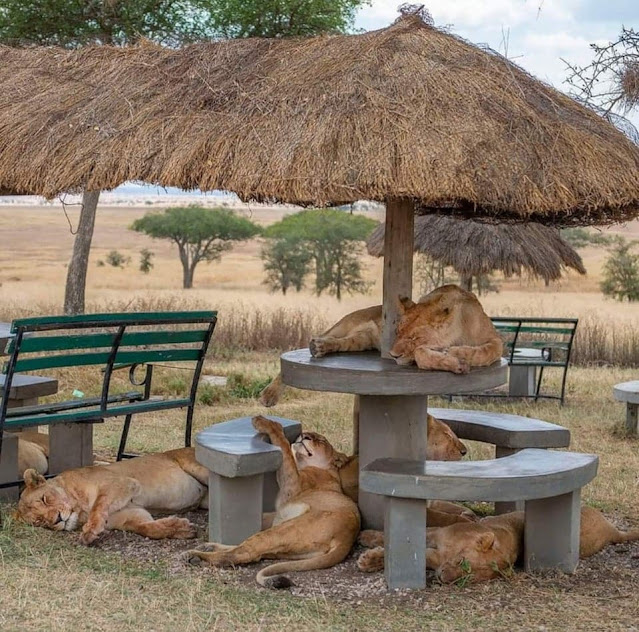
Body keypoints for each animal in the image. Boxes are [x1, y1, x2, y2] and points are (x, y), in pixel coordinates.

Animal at [15, 450, 208, 544]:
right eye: (40, 522)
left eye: (44, 499)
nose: (56, 520)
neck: (80, 511)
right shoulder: (132, 514)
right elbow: (147, 528)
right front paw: (181, 528)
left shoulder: (122, 483)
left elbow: (98, 505)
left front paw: (90, 531)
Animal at [188, 418, 362, 592]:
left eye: (322, 440)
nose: (304, 435)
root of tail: (346, 539)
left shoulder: (293, 485)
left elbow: (284, 448)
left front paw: (267, 423)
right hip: (288, 547)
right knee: (250, 548)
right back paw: (208, 547)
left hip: (284, 530)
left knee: (246, 553)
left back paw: (197, 556)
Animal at [258, 286, 500, 408]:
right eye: (398, 330)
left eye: (414, 336)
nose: (392, 354)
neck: (459, 329)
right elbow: (422, 355)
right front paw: (455, 361)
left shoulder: (496, 339)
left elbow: (486, 351)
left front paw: (460, 353)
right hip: (344, 324)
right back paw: (269, 394)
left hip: (360, 340)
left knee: (343, 343)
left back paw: (320, 348)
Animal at [358, 506, 639, 584]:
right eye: (462, 562)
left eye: (469, 579)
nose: (442, 579)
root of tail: (612, 530)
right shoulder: (438, 533)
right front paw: (368, 538)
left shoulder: (437, 556)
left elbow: (421, 555)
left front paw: (371, 559)